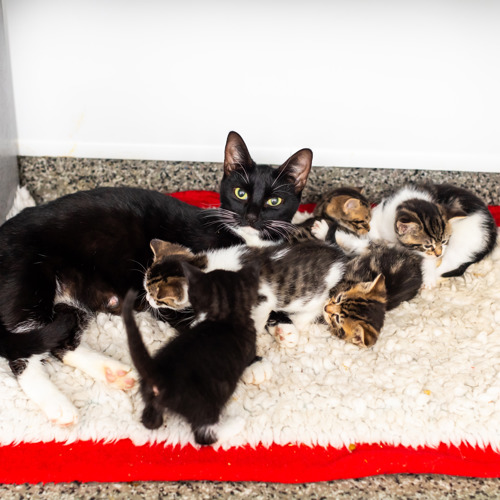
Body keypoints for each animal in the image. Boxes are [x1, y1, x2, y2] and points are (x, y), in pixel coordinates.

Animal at [122, 262, 260, 446]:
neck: (225, 316)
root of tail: (161, 375)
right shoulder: (250, 344)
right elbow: (251, 358)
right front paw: (258, 359)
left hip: (151, 398)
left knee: (150, 421)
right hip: (205, 406)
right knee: (204, 436)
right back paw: (235, 424)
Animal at [368, 184, 496, 288]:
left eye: (444, 241)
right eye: (427, 245)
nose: (438, 254)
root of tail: (492, 229)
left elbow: (429, 260)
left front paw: (428, 278)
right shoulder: (380, 213)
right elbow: (371, 228)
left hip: (466, 242)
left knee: (450, 263)